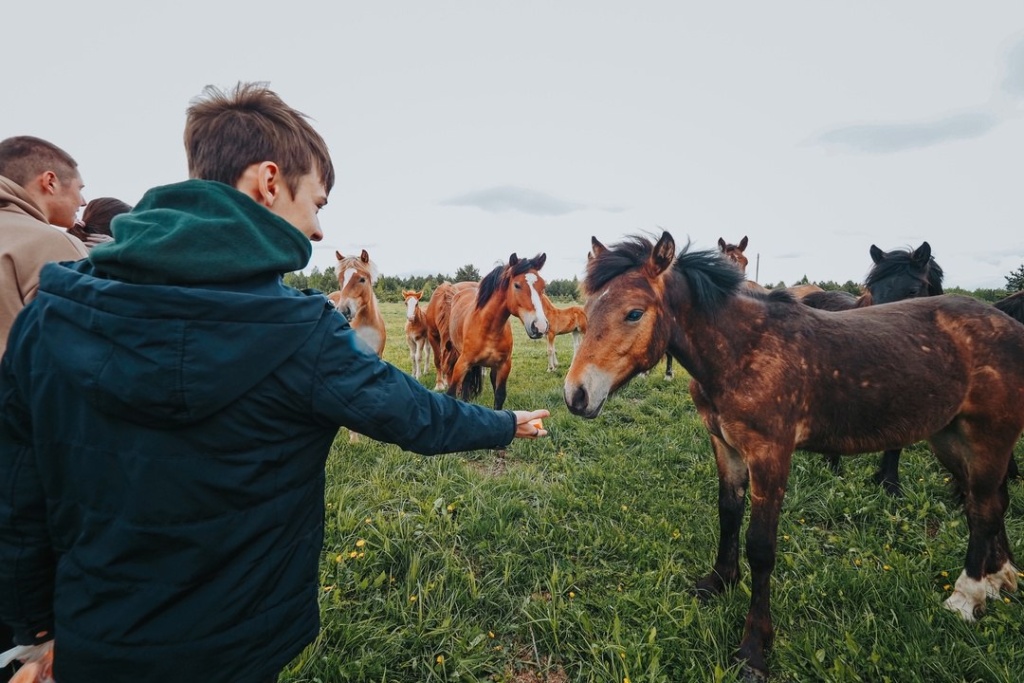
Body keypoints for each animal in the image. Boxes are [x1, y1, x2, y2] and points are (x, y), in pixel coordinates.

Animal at [436, 253, 548, 409]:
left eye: (543, 286)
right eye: (517, 285)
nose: (540, 326)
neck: (489, 330)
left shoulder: (503, 366)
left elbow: (499, 396)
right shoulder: (462, 364)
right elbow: (452, 393)